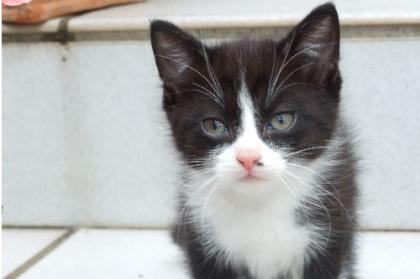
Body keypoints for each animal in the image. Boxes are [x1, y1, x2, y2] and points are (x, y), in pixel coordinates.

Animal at [149, 2, 356, 279]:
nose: (248, 158)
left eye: (281, 120)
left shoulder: (330, 233)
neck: (259, 204)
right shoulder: (202, 239)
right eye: (214, 126)